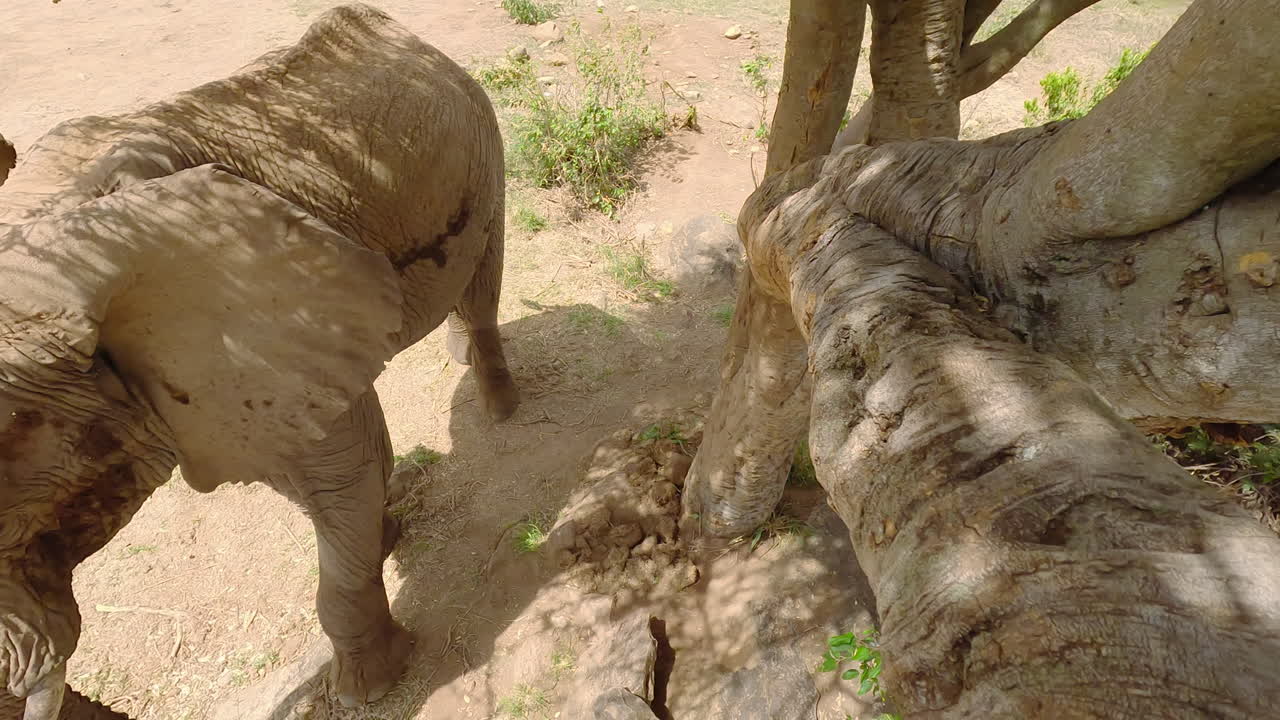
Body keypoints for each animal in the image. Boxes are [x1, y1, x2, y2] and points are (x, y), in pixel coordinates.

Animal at [0, 4, 519, 718]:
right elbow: (309, 472)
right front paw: (384, 536)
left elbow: (343, 473)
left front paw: (366, 687)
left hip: (482, 146)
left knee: (480, 285)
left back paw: (502, 411)